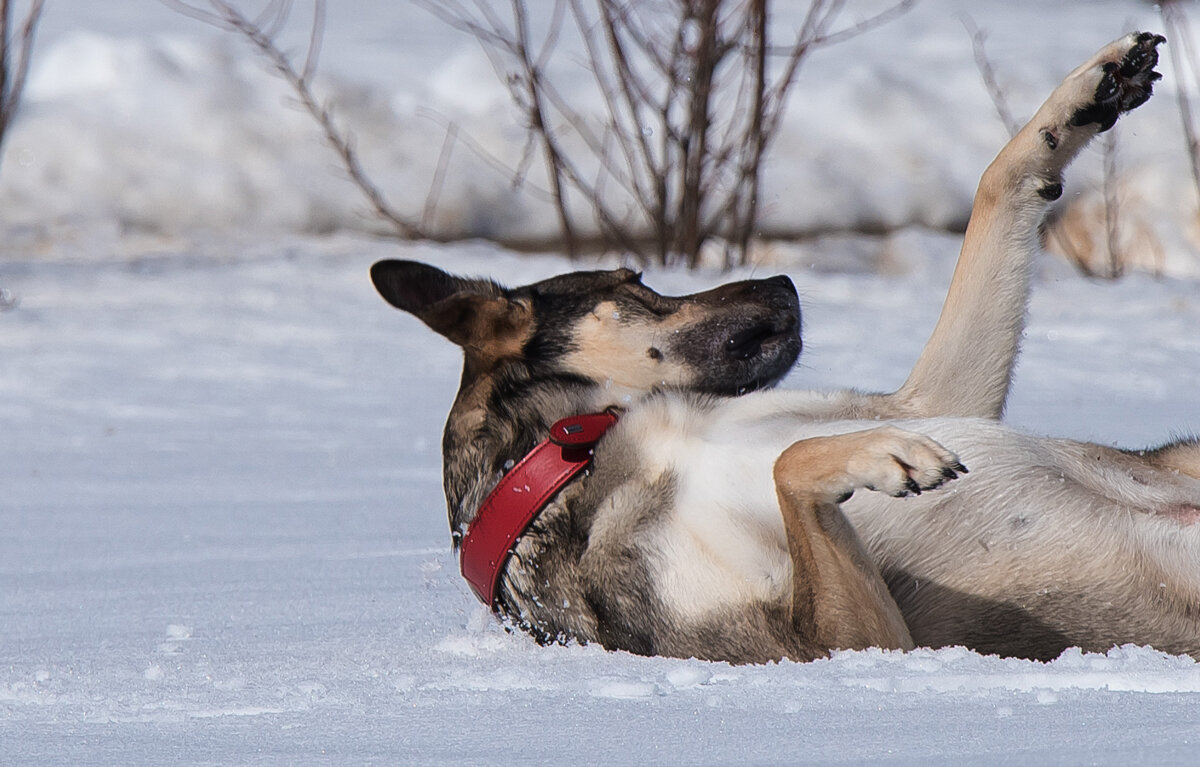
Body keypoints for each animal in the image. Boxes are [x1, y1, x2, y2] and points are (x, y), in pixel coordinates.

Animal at [369, 33, 1195, 662]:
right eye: (637, 283)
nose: (788, 281)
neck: (573, 454)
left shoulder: (928, 400)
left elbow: (998, 184)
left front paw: (1085, 98)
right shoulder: (841, 645)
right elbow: (788, 462)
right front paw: (888, 455)